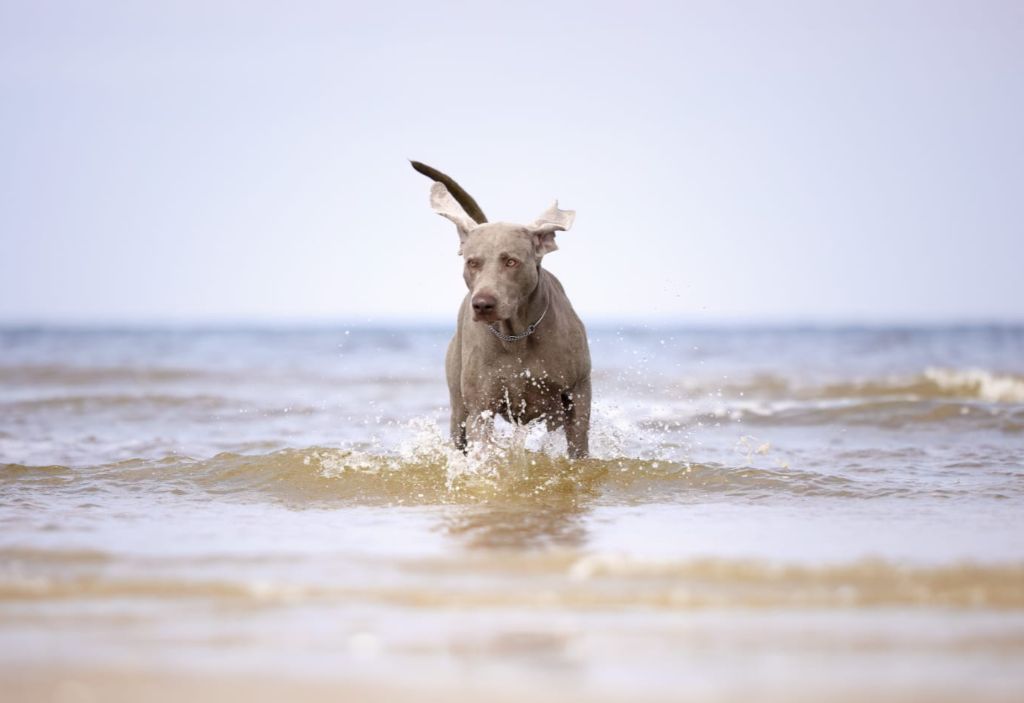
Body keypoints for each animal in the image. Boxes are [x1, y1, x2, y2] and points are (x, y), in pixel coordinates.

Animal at [411, 160, 593, 458]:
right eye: (473, 262)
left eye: (510, 262)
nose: (483, 304)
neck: (517, 336)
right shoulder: (480, 408)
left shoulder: (576, 394)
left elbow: (578, 446)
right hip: (458, 407)